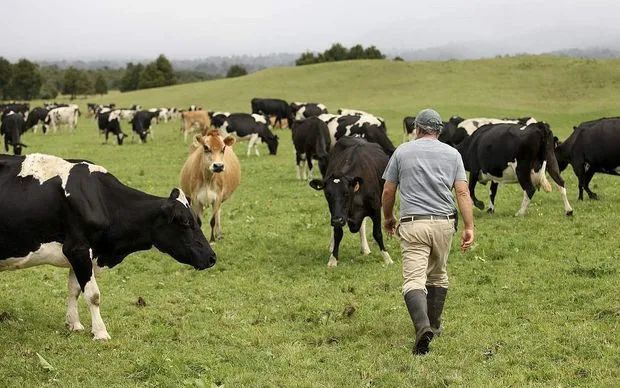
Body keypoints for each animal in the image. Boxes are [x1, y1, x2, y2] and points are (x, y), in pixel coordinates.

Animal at [0, 153, 218, 338]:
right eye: (185, 222)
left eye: (195, 220)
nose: (212, 257)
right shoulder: (77, 249)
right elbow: (93, 295)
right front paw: (100, 332)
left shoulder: (82, 254)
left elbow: (74, 290)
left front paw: (74, 324)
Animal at [308, 136, 392, 266]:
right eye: (328, 194)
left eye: (346, 193)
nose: (337, 220)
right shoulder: (337, 214)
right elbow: (337, 233)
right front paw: (333, 258)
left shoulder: (375, 208)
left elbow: (377, 232)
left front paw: (387, 258)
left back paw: (365, 249)